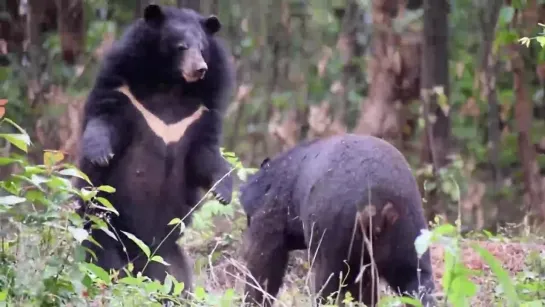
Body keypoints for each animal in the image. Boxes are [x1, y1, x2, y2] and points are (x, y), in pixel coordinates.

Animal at [73, 3, 234, 294]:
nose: (200, 69)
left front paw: (223, 192)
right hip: (103, 232)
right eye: (181, 46)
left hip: (166, 256)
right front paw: (100, 155)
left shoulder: (202, 111)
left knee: (176, 280)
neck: (170, 85)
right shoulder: (123, 89)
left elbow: (204, 154)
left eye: (203, 48)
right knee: (102, 263)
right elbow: (105, 119)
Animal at [240, 135, 436, 307]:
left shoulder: (270, 216)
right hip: (411, 235)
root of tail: (380, 203)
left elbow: (263, 265)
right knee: (417, 282)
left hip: (333, 240)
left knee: (326, 286)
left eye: (249, 218)